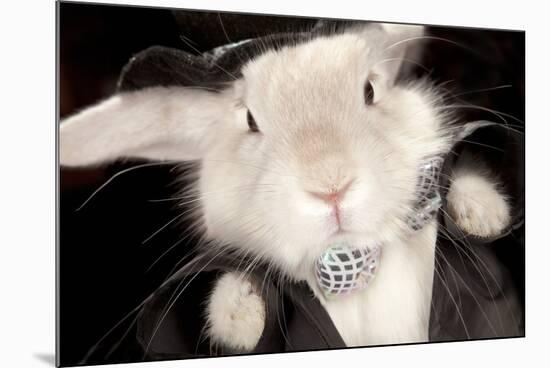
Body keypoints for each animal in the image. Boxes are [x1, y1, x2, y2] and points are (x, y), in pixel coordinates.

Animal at [60, 23, 512, 354]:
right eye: (249, 120)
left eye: (370, 90)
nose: (331, 187)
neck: (354, 265)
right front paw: (237, 317)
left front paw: (484, 213)